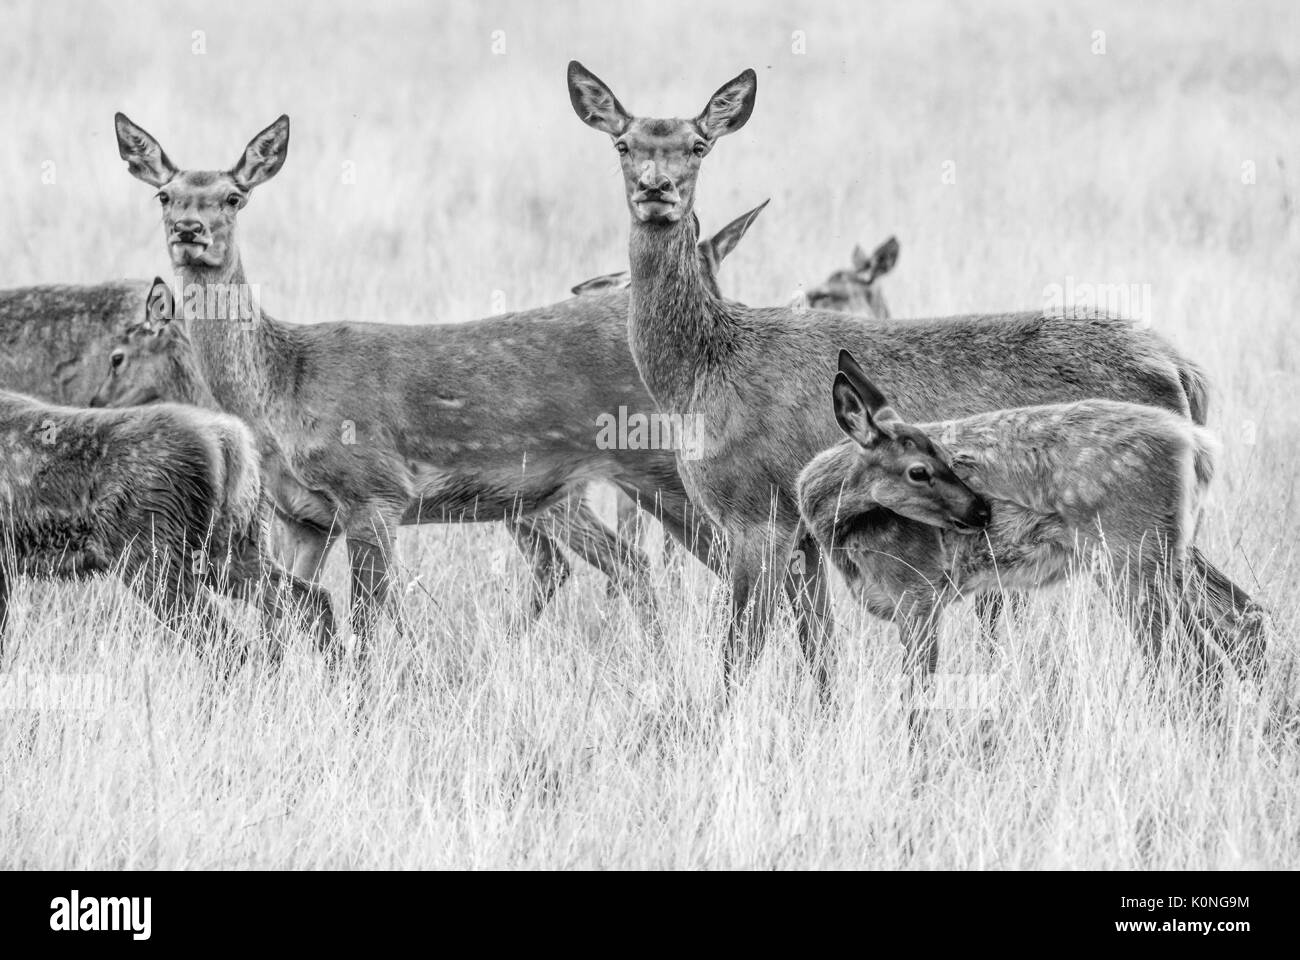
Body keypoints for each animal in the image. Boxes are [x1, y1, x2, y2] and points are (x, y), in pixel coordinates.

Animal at [111, 112, 748, 652]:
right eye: (164, 195)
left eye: (234, 196)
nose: (189, 230)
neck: (280, 390)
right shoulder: (302, 517)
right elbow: (288, 611)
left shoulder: (374, 489)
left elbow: (367, 621)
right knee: (639, 562)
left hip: (665, 466)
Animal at [798, 350, 1263, 724]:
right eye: (919, 469)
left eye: (948, 456)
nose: (982, 511)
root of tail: (1196, 443)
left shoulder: (919, 593)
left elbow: (918, 702)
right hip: (1165, 556)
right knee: (1238, 627)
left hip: (1129, 556)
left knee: (1194, 663)